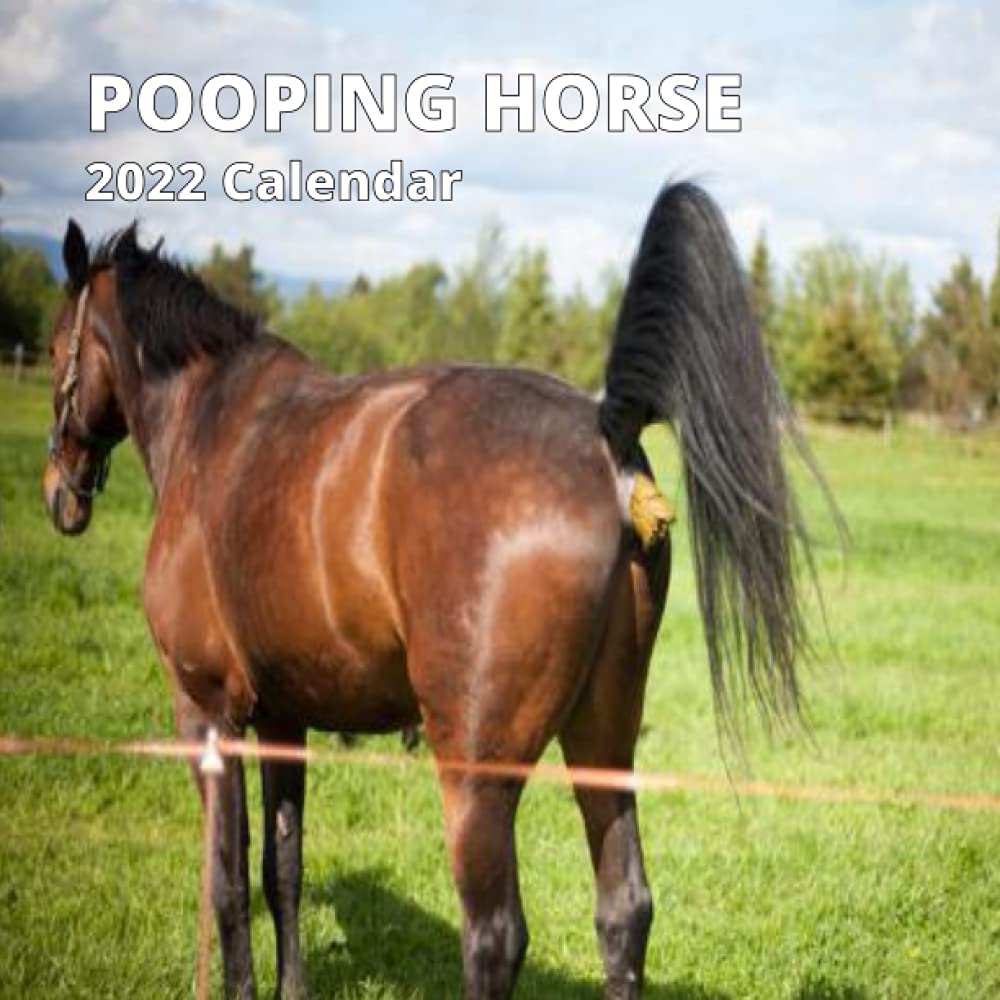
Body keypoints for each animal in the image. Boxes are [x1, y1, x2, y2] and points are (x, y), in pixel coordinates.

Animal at [43, 183, 819, 999]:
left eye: (58, 347)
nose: (60, 492)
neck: (212, 424)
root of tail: (606, 441)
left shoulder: (204, 711)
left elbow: (225, 882)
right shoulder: (285, 717)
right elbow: (282, 869)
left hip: (476, 775)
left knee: (493, 935)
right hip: (604, 737)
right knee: (624, 910)